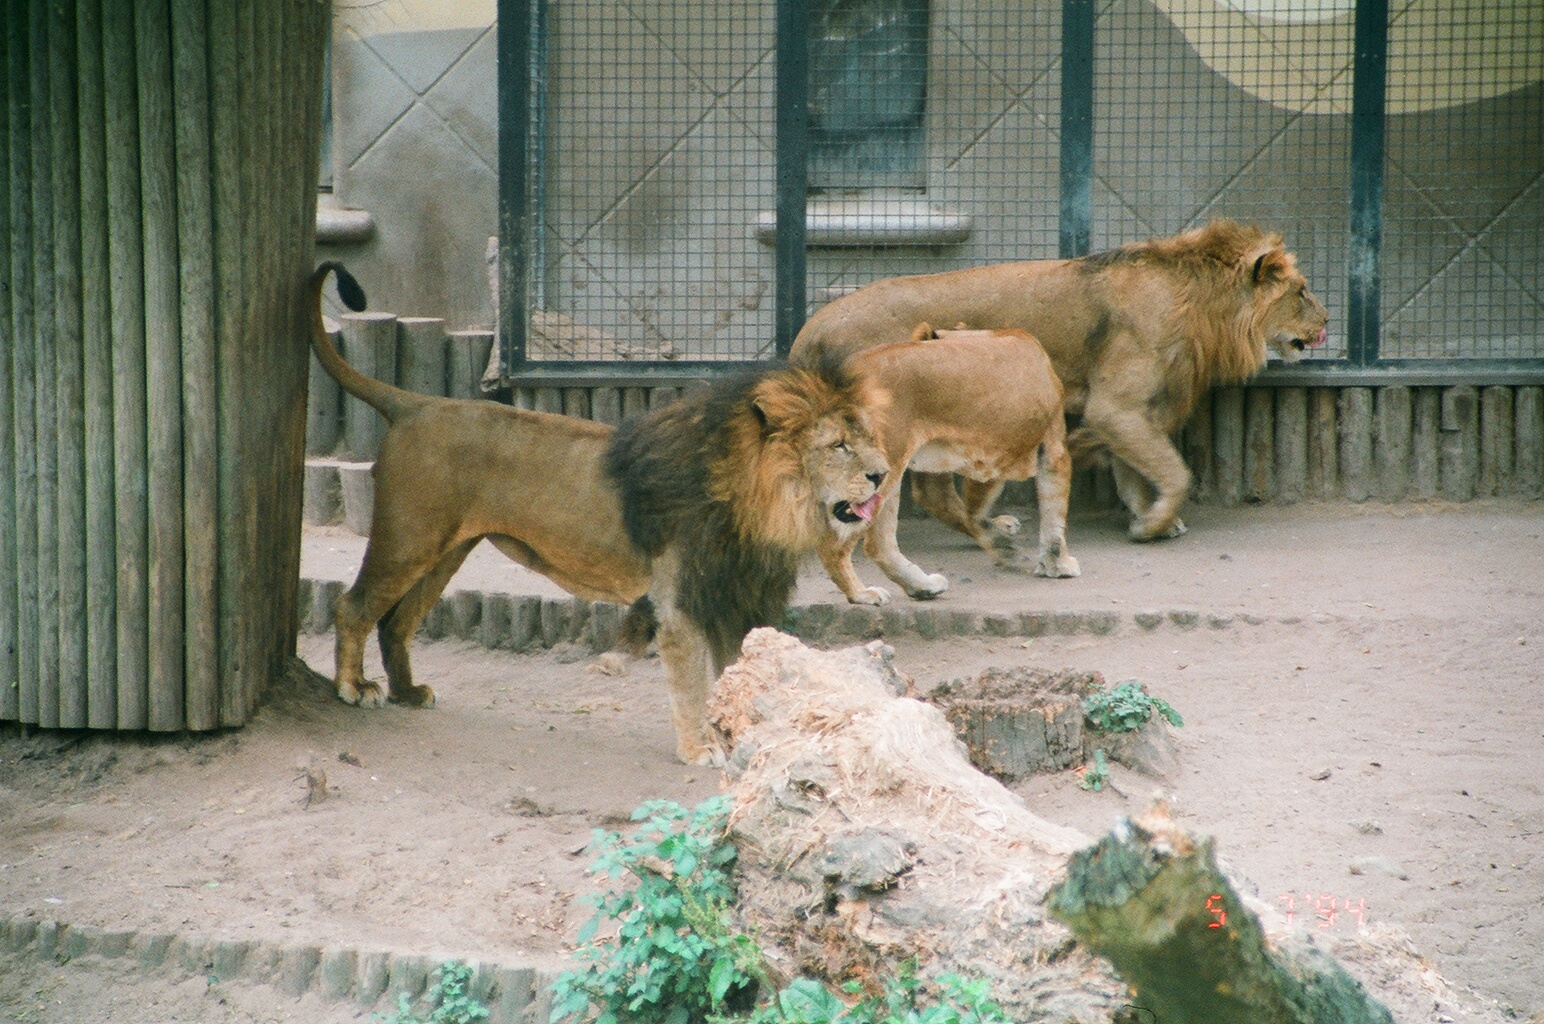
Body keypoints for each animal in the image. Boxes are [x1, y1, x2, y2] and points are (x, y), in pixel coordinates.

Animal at [605, 355, 890, 761]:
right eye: (838, 445)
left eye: (868, 438)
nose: (882, 475)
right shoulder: (681, 600)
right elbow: (690, 678)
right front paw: (697, 748)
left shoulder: (743, 597)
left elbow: (741, 667)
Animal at [790, 219, 1329, 541]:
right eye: (1303, 291)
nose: (1326, 323)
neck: (1199, 299)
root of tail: (810, 329)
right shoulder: (1115, 407)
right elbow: (1176, 472)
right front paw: (1152, 525)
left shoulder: (1128, 412)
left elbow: (1134, 470)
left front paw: (1147, 516)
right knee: (926, 493)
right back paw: (988, 528)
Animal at [816, 326, 1080, 605]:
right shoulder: (1051, 449)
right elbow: (1053, 513)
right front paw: (1058, 565)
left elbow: (968, 509)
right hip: (878, 470)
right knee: (835, 543)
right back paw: (862, 594)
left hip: (885, 471)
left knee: (879, 544)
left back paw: (923, 586)